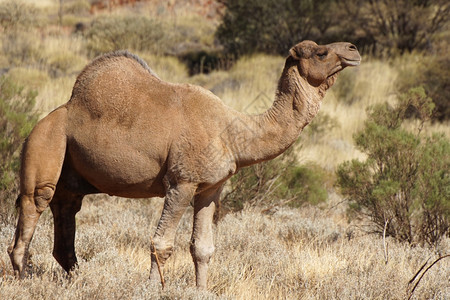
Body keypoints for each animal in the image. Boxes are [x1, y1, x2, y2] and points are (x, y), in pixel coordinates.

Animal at [7, 39, 360, 288]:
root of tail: (49, 116)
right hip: (46, 143)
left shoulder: (210, 189)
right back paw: (24, 281)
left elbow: (202, 248)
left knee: (66, 212)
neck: (232, 132)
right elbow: (161, 243)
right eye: (321, 53)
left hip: (73, 177)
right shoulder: (181, 183)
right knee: (34, 204)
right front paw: (152, 289)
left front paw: (201, 290)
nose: (353, 50)